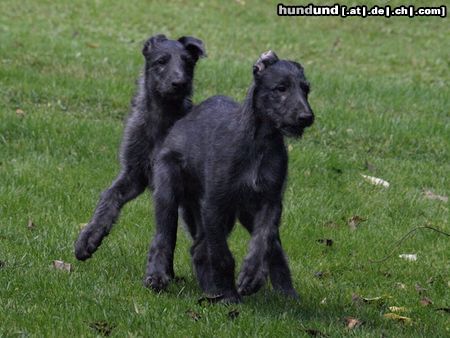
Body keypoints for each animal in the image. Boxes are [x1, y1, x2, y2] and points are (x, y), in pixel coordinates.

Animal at [75, 34, 206, 262]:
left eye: (188, 63)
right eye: (161, 61)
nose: (180, 83)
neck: (162, 120)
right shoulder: (133, 173)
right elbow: (109, 198)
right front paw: (89, 236)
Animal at [146, 50, 314, 304]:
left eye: (306, 89)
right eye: (281, 88)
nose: (307, 117)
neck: (259, 143)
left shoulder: (270, 202)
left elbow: (263, 239)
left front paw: (251, 276)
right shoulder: (215, 204)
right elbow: (222, 256)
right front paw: (229, 296)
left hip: (239, 212)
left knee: (203, 249)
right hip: (170, 189)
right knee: (165, 237)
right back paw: (160, 276)